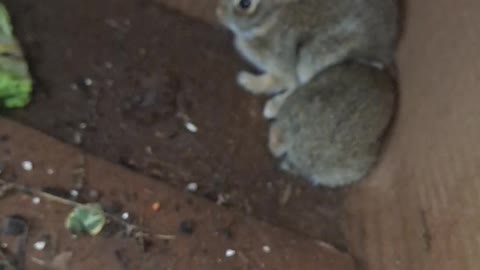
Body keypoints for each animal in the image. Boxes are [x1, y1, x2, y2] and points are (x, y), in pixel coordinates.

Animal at [217, 0, 398, 119]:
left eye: (245, 4)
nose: (218, 13)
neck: (271, 19)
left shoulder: (284, 65)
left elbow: (279, 83)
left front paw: (246, 81)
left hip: (312, 57)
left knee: (302, 85)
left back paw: (273, 107)